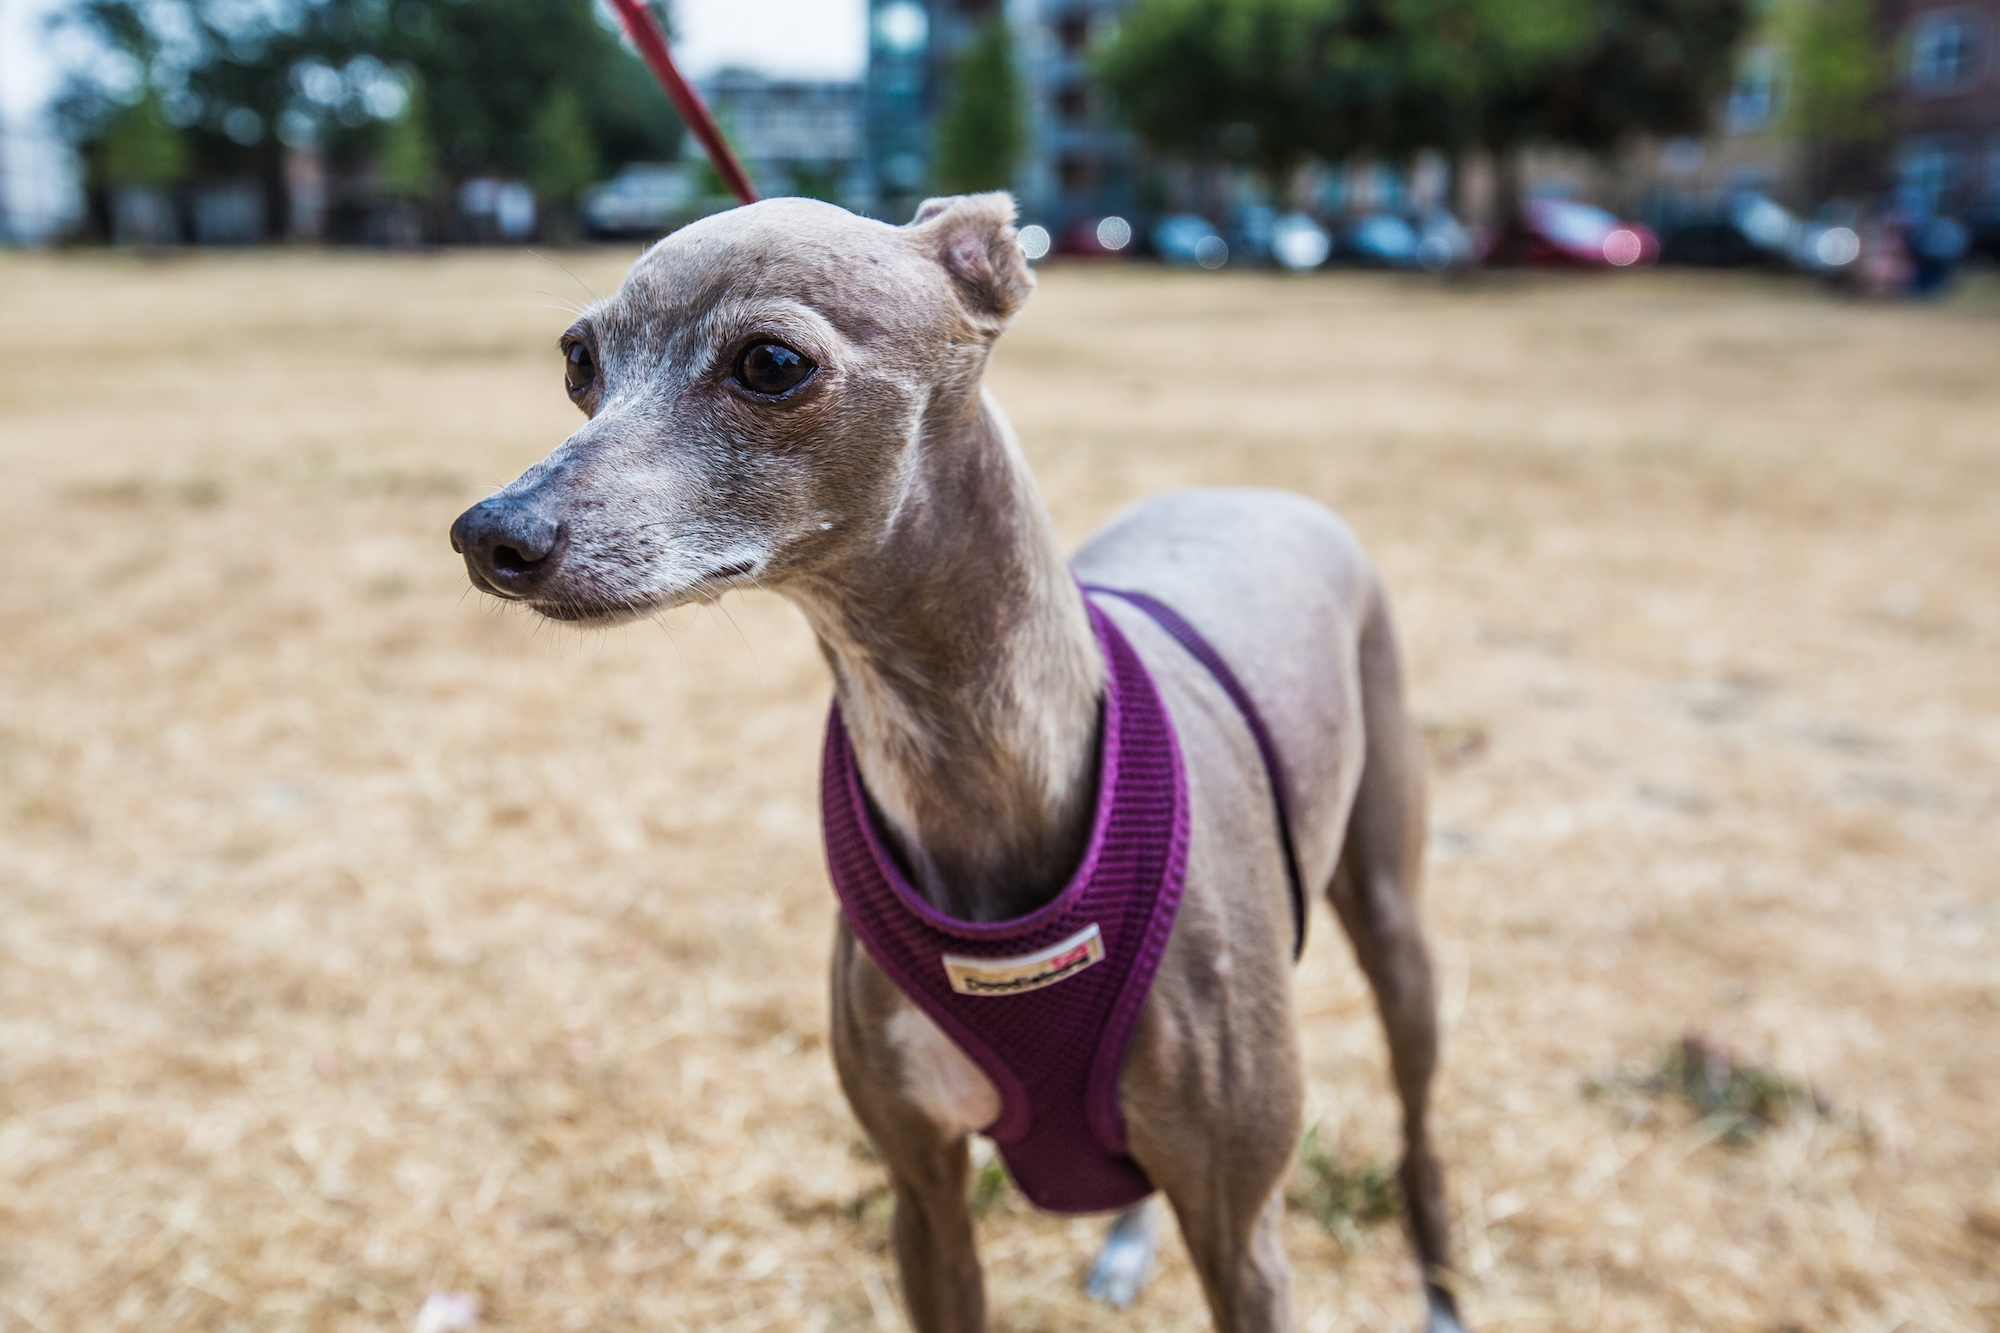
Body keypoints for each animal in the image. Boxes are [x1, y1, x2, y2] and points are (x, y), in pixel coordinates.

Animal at [450, 189, 1456, 1328]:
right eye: (579, 359)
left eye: (771, 362)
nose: (491, 533)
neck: (972, 779)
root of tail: (1250, 490)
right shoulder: (922, 1191)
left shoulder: (1245, 1232)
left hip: (1395, 931)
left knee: (1419, 1133)